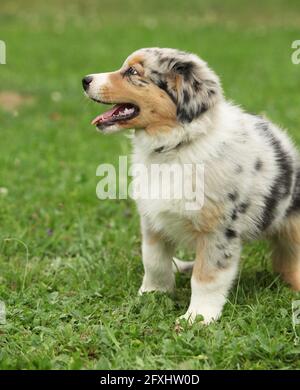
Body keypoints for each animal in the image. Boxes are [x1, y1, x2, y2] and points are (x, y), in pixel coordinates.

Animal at [82, 48, 300, 322]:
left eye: (132, 72)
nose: (85, 80)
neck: (175, 146)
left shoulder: (218, 230)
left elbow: (207, 277)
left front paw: (197, 318)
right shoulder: (152, 220)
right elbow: (153, 261)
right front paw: (152, 294)